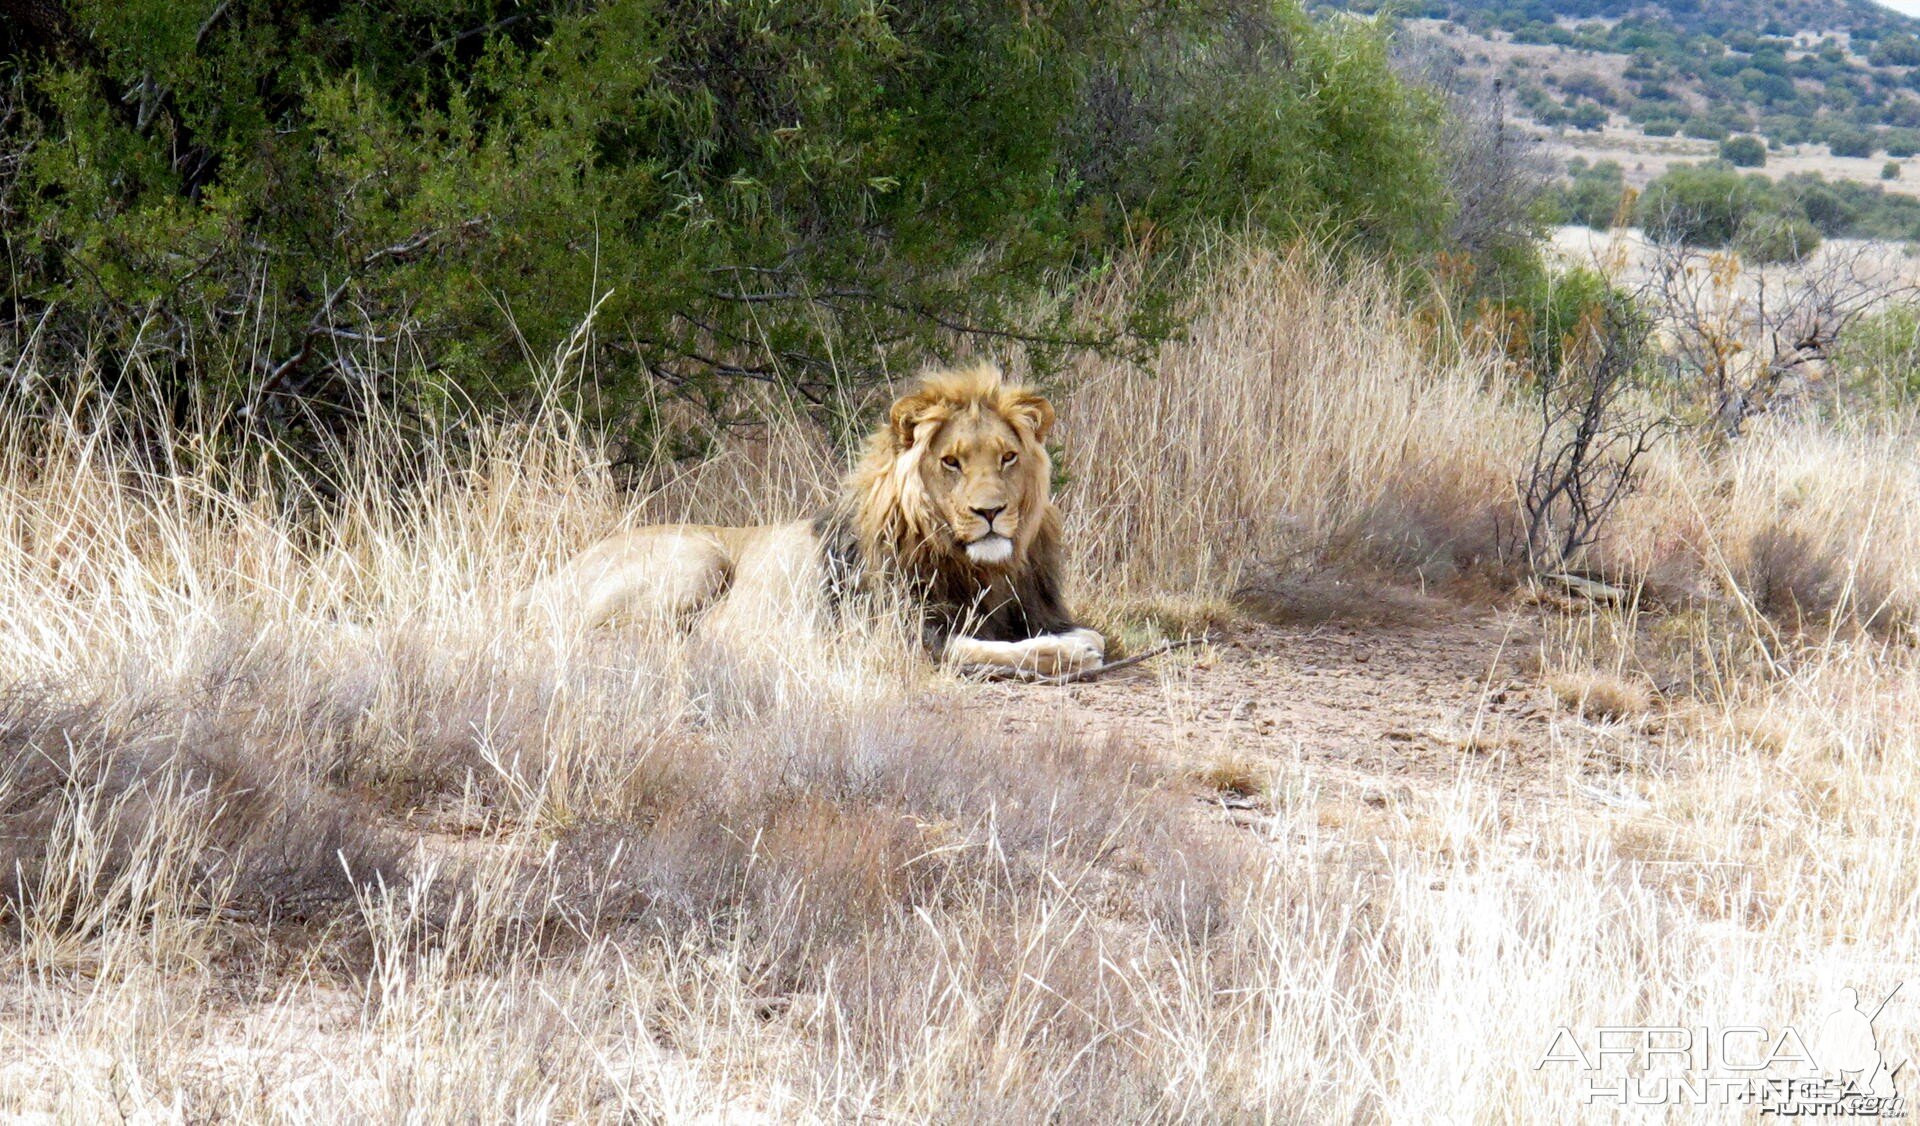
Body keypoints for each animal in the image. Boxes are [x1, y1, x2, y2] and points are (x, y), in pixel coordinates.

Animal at [526, 363, 1113, 672]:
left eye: (1008, 457)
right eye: (951, 462)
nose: (990, 511)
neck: (976, 568)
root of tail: (538, 585)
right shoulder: (887, 637)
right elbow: (986, 650)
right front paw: (1070, 652)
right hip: (697, 557)